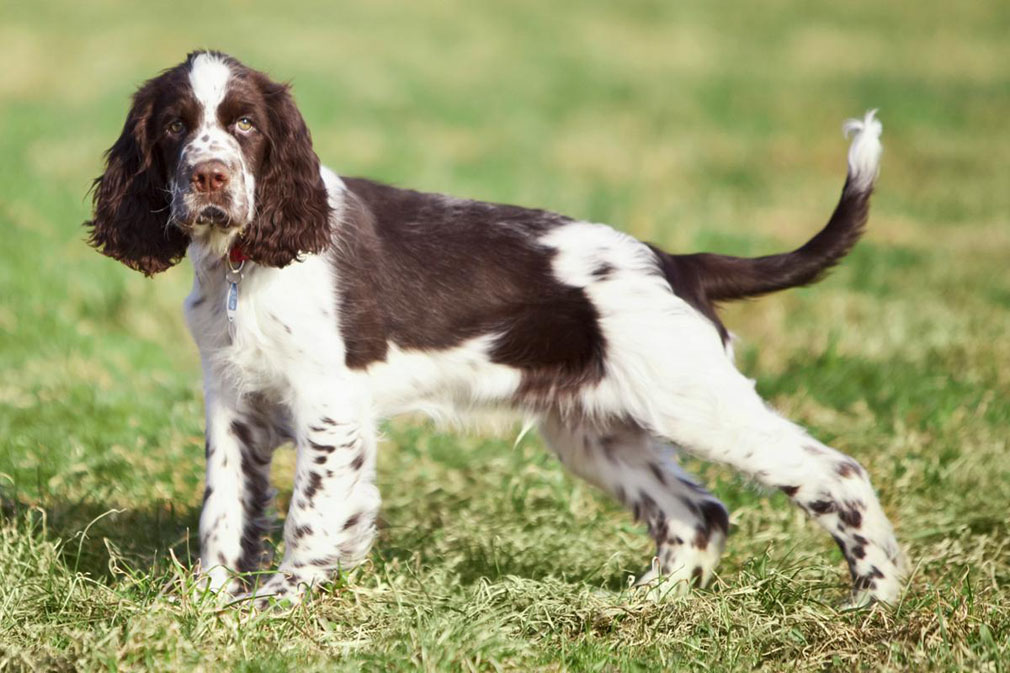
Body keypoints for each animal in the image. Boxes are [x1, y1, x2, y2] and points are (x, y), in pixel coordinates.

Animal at [86, 51, 909, 602]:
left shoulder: (329, 405)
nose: (209, 177)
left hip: (693, 400)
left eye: (246, 124)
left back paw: (877, 595)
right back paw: (649, 602)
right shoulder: (232, 401)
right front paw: (206, 603)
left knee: (836, 473)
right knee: (697, 512)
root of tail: (676, 262)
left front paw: (280, 602)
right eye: (174, 126)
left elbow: (309, 516)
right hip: (595, 429)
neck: (244, 262)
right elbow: (225, 510)